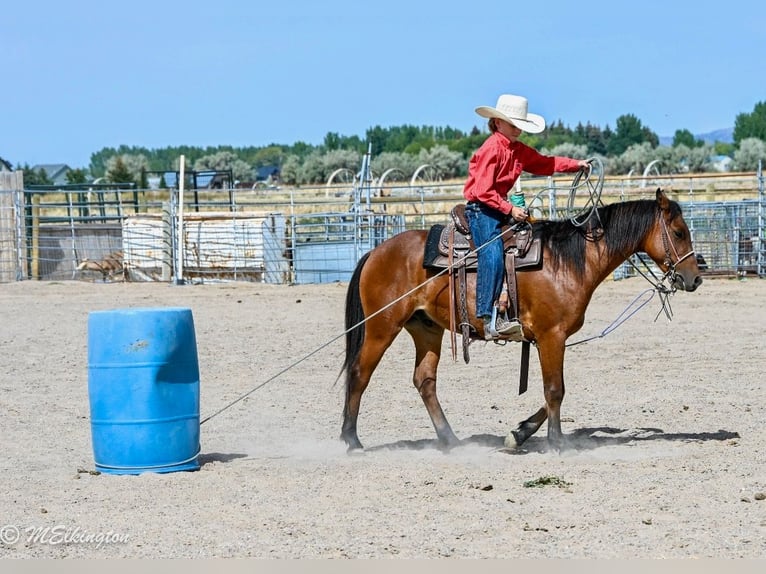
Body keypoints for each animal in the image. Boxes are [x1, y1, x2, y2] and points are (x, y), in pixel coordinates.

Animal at [340, 188, 702, 452]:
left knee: (424, 380)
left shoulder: (548, 340)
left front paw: (519, 433)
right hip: (382, 326)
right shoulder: (552, 335)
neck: (569, 261)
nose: (695, 278)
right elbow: (555, 389)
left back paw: (450, 440)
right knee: (359, 374)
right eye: (678, 232)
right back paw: (352, 440)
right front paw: (557, 442)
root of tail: (375, 252)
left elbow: (550, 392)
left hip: (426, 329)